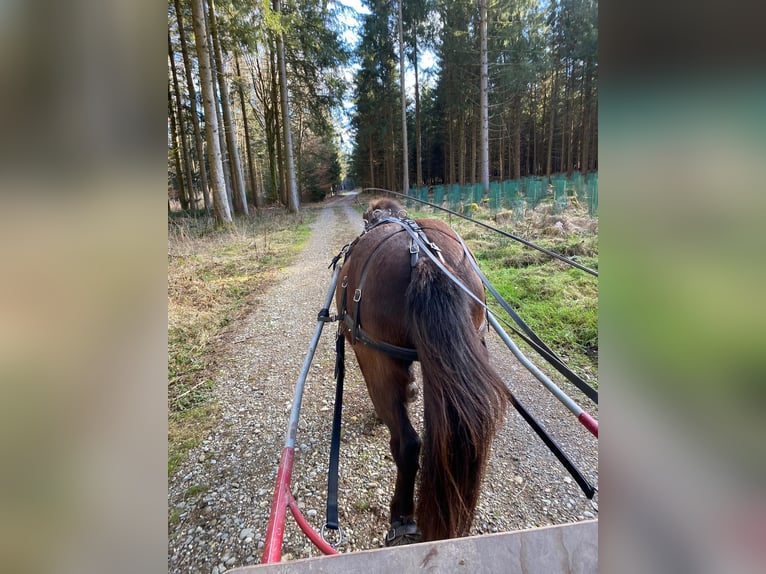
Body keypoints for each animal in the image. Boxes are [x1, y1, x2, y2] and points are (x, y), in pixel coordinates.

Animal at [335, 197, 510, 545]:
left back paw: (401, 515)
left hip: (379, 359)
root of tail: (426, 259)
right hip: (473, 344)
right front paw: (413, 390)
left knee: (408, 444)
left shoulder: (368, 355)